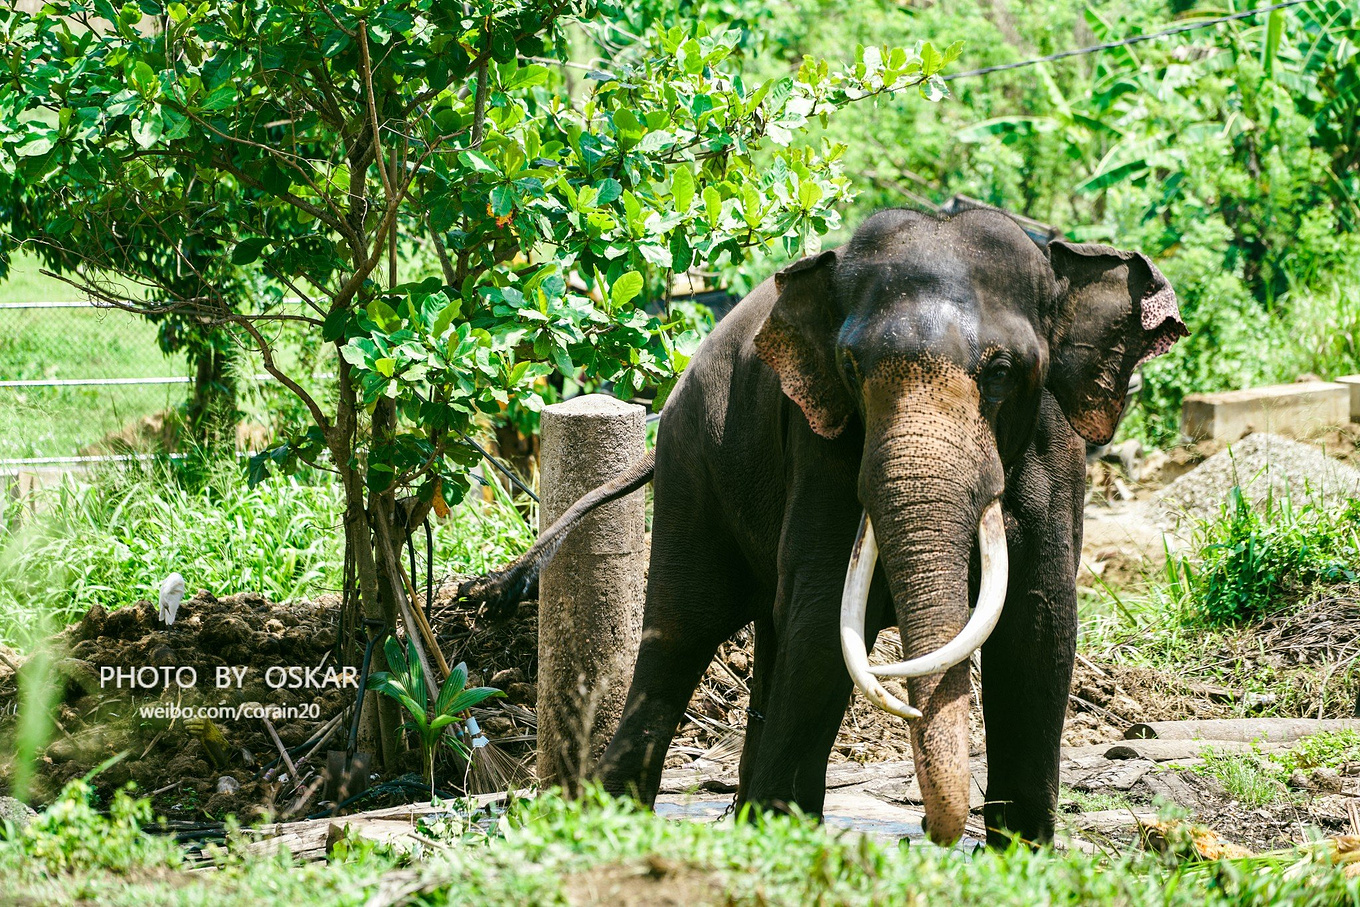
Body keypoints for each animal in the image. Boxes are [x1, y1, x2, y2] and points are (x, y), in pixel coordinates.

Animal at [462, 209, 1185, 848]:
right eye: (853, 369)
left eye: (1003, 372)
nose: (931, 831)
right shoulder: (820, 442)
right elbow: (820, 621)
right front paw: (778, 835)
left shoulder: (1056, 453)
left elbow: (1039, 625)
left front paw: (1020, 855)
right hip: (691, 466)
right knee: (683, 628)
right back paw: (624, 816)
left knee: (762, 627)